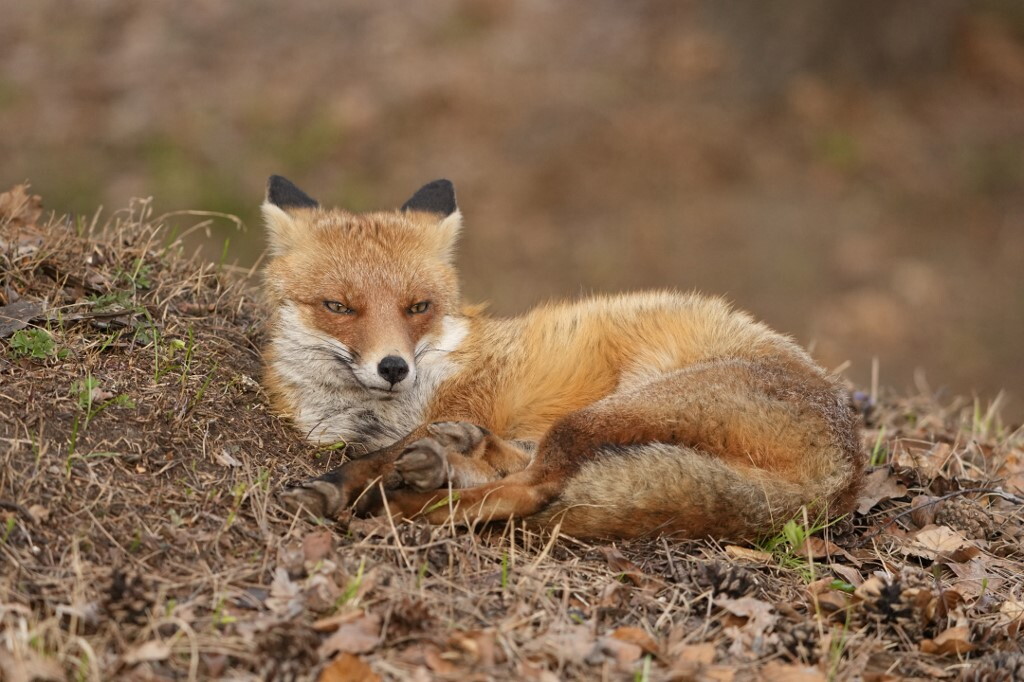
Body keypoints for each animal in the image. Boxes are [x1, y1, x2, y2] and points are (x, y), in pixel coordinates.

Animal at [264, 175, 864, 540]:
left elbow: (379, 456)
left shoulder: (460, 401)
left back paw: (410, 506)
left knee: (536, 486)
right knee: (523, 467)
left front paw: (340, 487)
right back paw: (451, 460)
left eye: (418, 308)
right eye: (338, 307)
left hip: (608, 412)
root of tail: (846, 476)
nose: (393, 368)